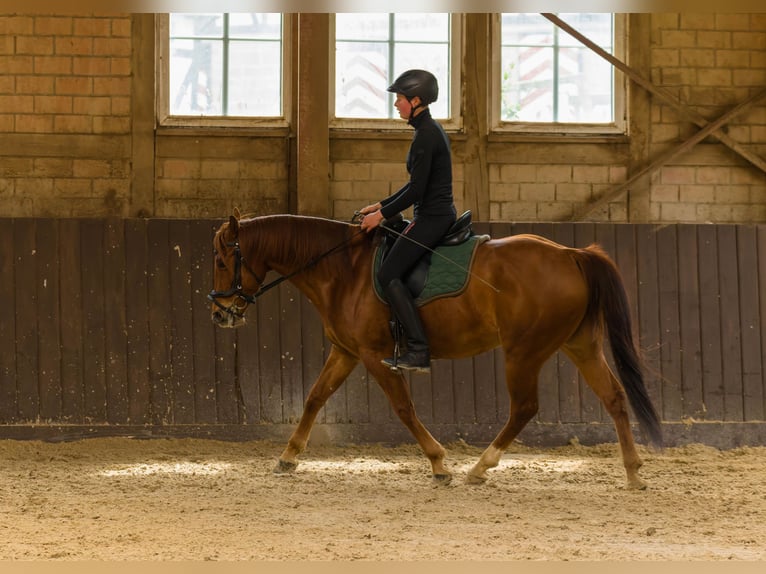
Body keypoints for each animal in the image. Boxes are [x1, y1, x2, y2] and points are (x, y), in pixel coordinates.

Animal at [210, 212, 664, 490]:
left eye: (220, 260)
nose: (219, 313)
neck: (344, 271)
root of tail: (572, 254)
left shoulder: (375, 356)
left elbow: (404, 409)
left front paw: (439, 463)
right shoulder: (346, 351)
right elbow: (314, 398)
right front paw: (288, 457)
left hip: (524, 351)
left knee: (525, 408)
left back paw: (479, 468)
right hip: (580, 345)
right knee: (614, 397)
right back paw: (633, 473)